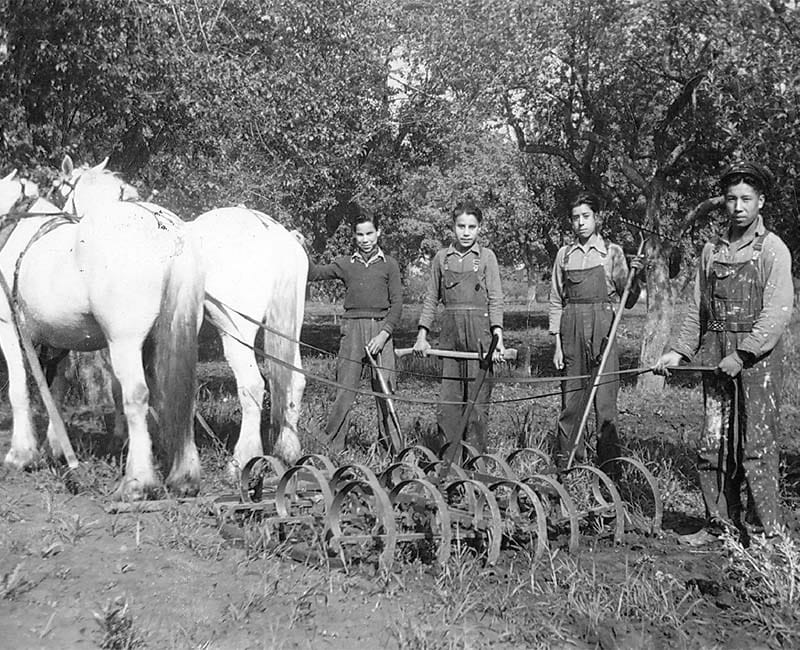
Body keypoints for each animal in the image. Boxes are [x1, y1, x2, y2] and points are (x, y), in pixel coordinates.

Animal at [0, 159, 205, 500]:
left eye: (59, 188)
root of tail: (166, 232)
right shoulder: (58, 339)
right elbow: (55, 388)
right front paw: (57, 448)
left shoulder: (10, 329)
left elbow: (21, 390)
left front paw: (21, 455)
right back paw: (183, 476)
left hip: (126, 341)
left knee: (137, 394)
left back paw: (137, 482)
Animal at [55, 161, 309, 474]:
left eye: (60, 189)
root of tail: (274, 234)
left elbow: (120, 386)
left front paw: (124, 440)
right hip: (289, 328)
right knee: (294, 380)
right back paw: (288, 451)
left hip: (236, 330)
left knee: (252, 385)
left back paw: (241, 460)